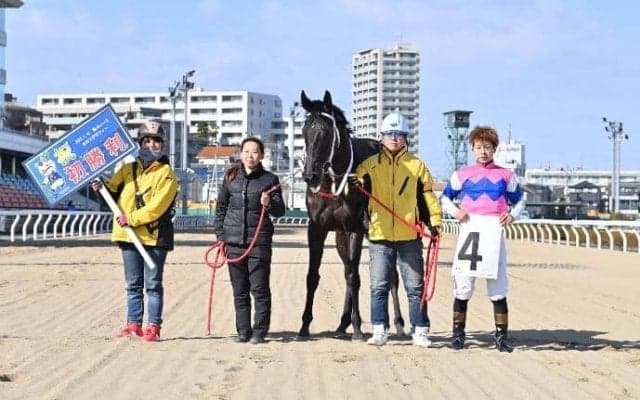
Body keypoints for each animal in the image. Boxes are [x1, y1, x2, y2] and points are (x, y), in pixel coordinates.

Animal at [297, 90, 405, 340]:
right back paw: (343, 323)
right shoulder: (317, 229)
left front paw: (357, 327)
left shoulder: (355, 228)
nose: (309, 175)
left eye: (325, 132)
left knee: (391, 277)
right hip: (341, 236)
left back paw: (397, 323)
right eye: (305, 130)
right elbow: (313, 276)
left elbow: (354, 278)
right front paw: (304, 326)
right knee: (349, 268)